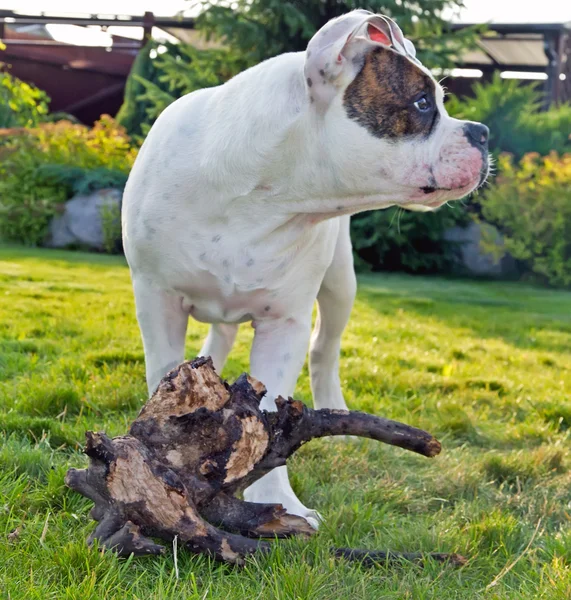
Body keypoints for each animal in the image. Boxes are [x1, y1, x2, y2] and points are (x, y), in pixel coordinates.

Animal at [123, 8, 490, 524]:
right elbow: (164, 376)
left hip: (340, 285)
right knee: (220, 337)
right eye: (421, 103)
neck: (263, 197)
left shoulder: (286, 323)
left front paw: (275, 500)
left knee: (324, 349)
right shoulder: (156, 300)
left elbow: (271, 415)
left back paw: (334, 411)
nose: (482, 132)